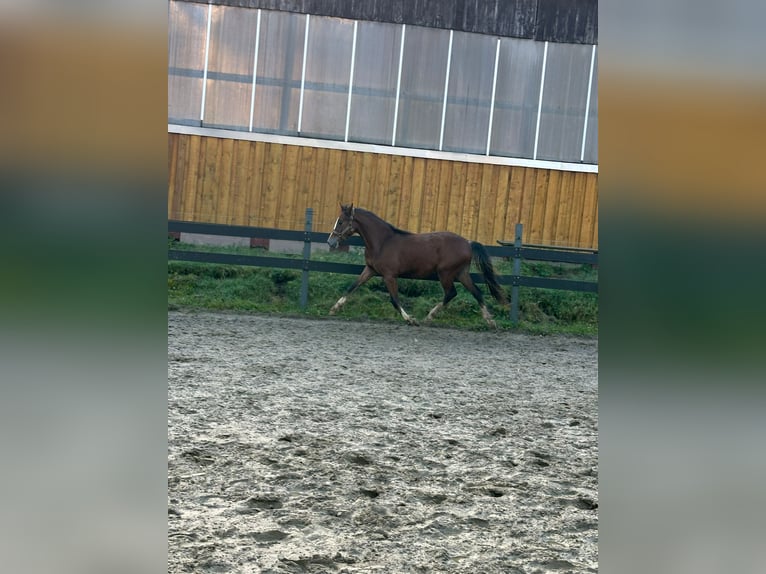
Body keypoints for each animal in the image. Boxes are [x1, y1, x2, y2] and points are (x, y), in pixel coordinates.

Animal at [326, 206, 510, 328]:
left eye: (340, 222)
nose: (330, 242)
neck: (383, 242)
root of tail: (468, 243)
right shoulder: (370, 270)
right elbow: (352, 287)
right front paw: (334, 309)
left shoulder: (389, 275)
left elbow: (395, 299)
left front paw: (410, 319)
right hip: (462, 273)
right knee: (476, 292)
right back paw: (490, 321)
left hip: (445, 273)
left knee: (451, 293)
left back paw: (429, 316)